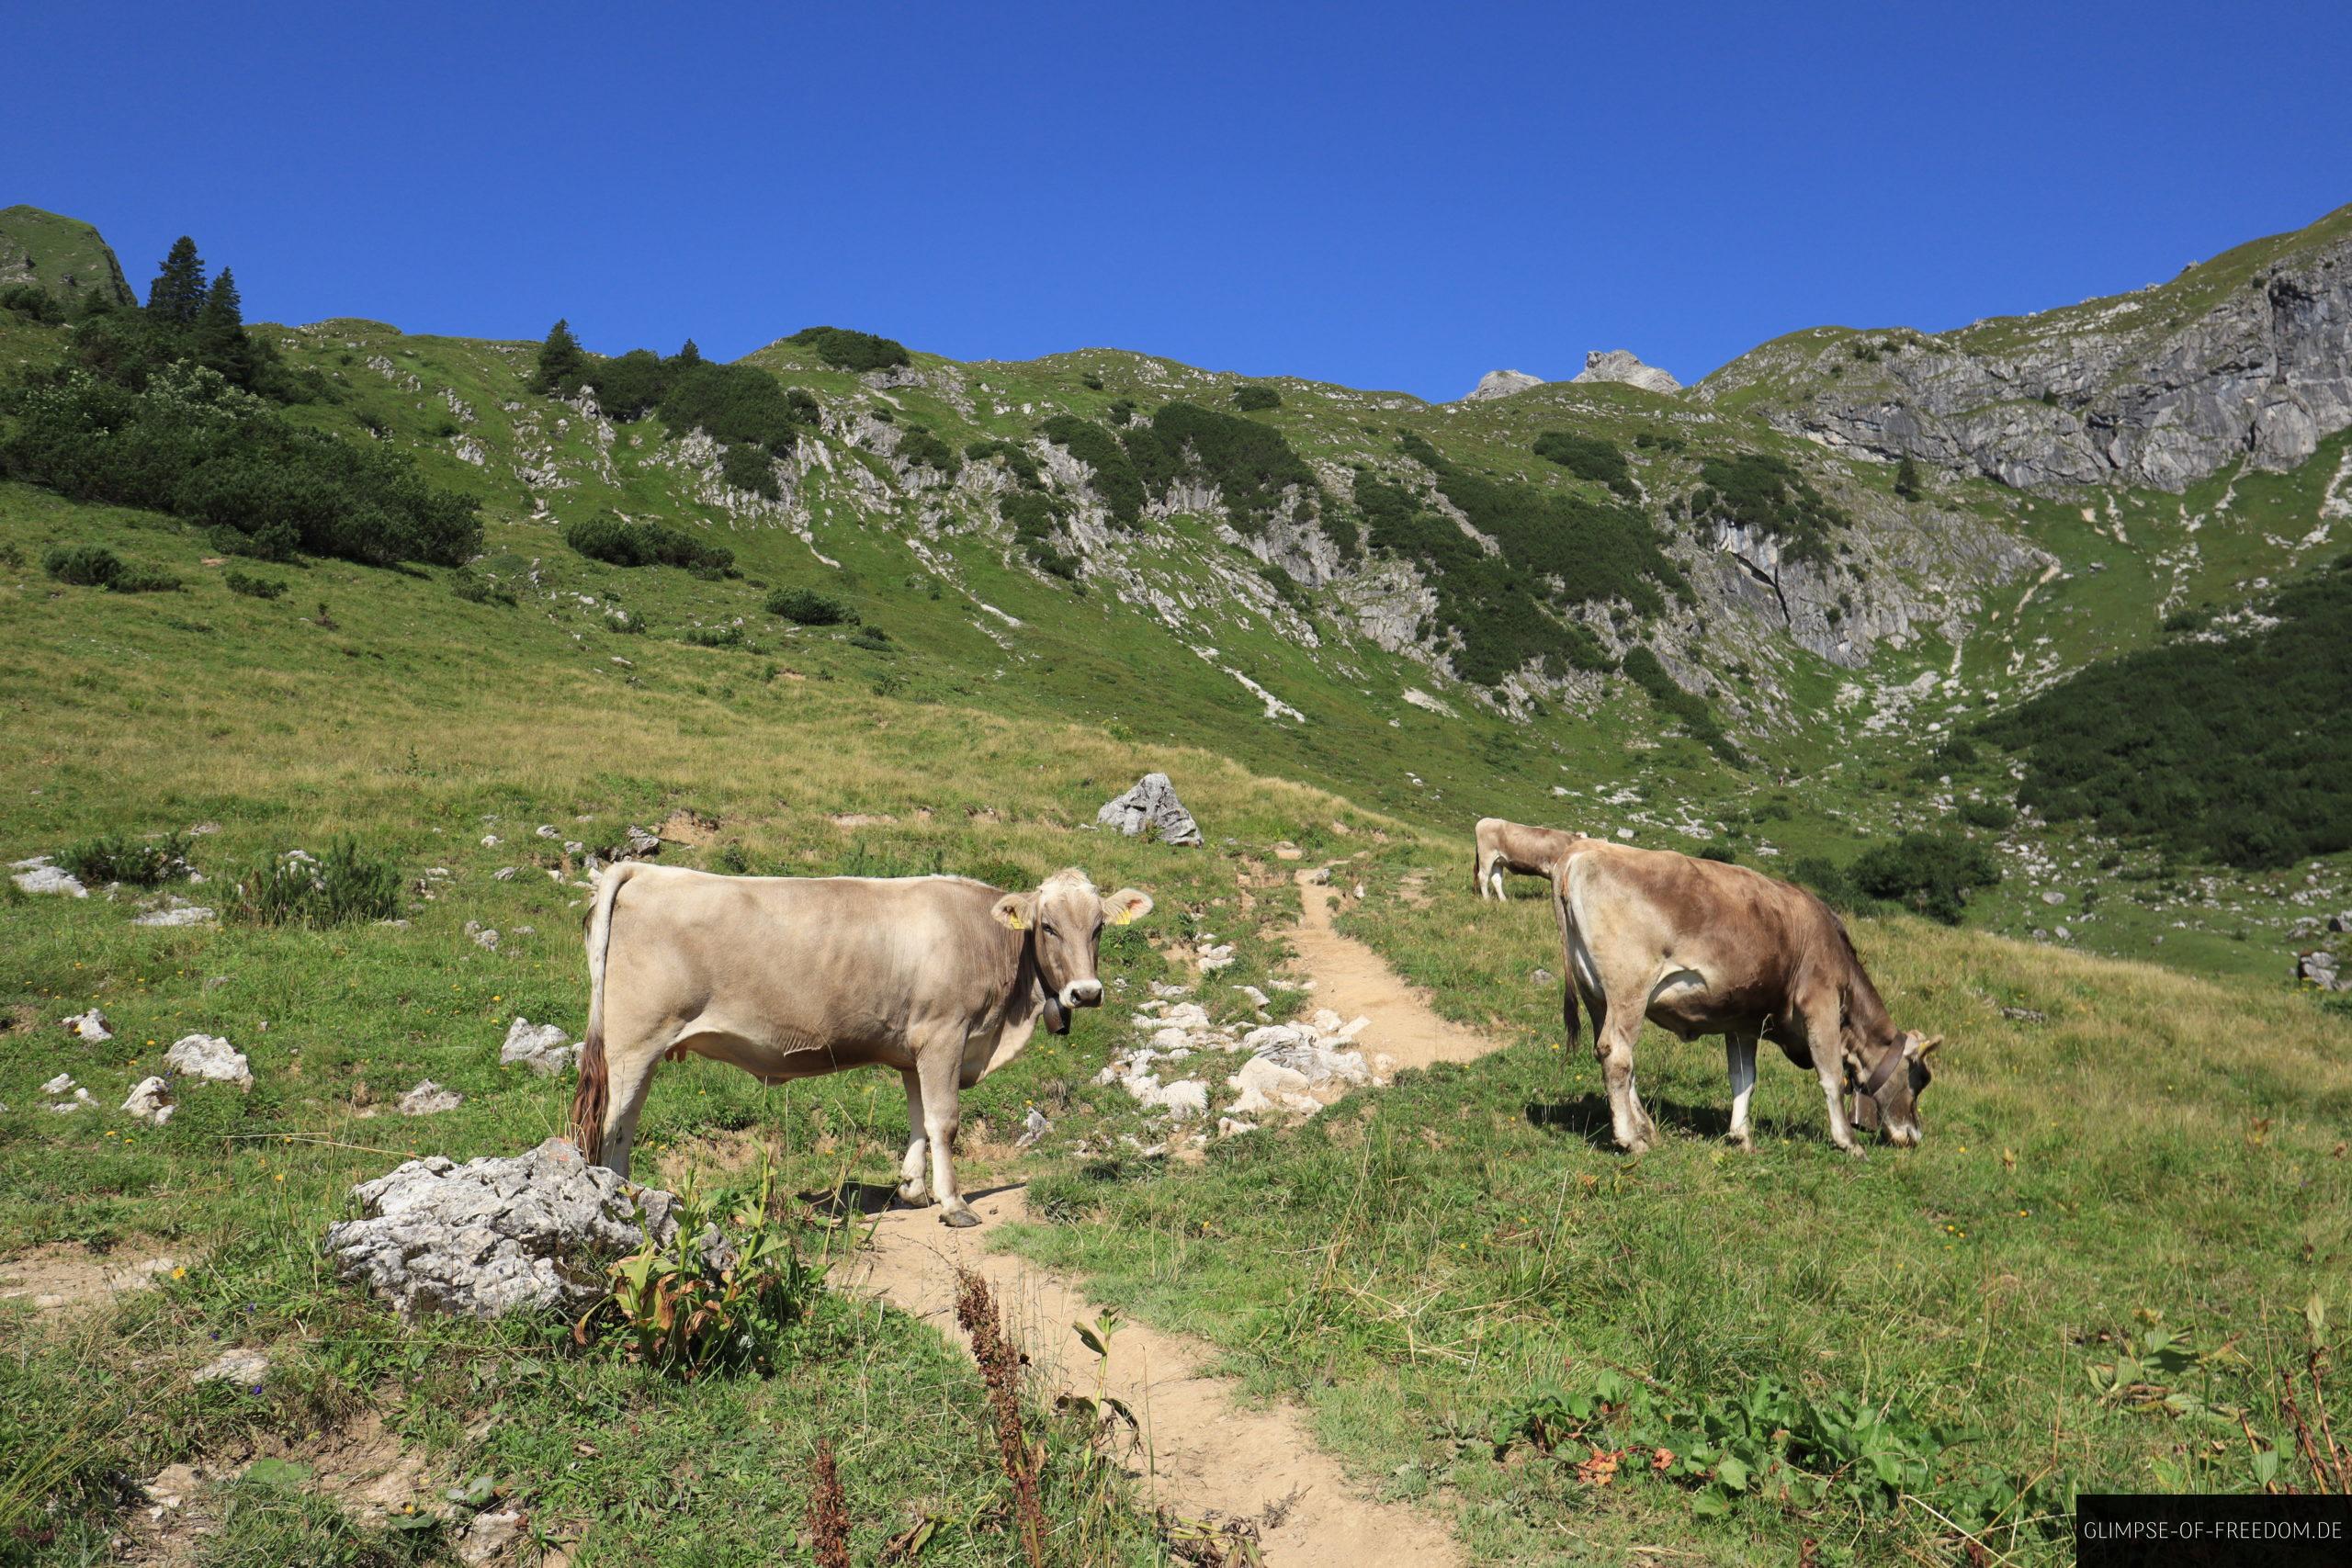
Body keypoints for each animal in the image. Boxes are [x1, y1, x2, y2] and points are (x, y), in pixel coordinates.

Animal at [568, 863, 1151, 1226]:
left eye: (1099, 927)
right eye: (1047, 926)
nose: (1086, 992)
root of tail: (644, 870)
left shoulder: (915, 1047)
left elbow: (919, 1118)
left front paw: (913, 1189)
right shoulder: (945, 1034)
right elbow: (945, 1121)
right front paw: (954, 1203)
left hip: (641, 1051)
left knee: (625, 1123)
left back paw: (631, 1196)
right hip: (632, 1043)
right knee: (607, 1122)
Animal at [1550, 841, 1940, 1154]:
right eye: (1920, 1079)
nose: (1914, 1136)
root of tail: (1580, 851)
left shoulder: (1743, 1022)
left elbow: (1744, 1078)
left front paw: (1741, 1137)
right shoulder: (1820, 1002)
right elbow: (1831, 1076)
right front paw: (1848, 1141)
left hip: (1598, 996)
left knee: (1612, 1054)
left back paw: (1646, 1128)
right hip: (1629, 989)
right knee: (1617, 1055)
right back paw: (1631, 1139)